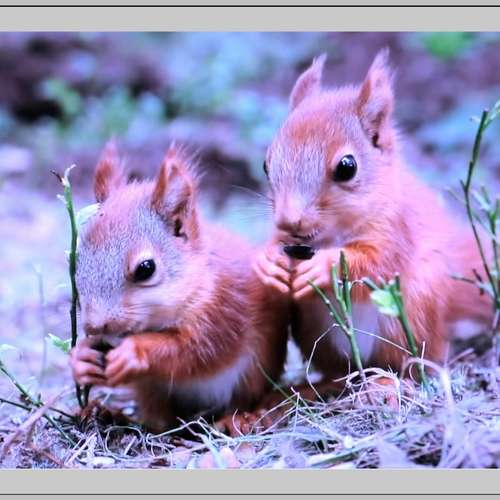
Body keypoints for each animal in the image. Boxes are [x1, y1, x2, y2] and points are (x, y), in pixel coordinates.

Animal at [70, 142, 289, 433]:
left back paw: (243, 418)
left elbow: (194, 351)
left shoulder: (221, 310)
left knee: (241, 399)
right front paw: (81, 358)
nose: (94, 326)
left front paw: (133, 352)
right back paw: (109, 413)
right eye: (75, 261)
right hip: (151, 390)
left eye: (146, 268)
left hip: (255, 369)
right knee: (159, 421)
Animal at [254, 49, 493, 382]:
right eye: (266, 164)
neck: (332, 234)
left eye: (347, 167)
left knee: (410, 363)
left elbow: (377, 261)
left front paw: (324, 266)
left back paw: (388, 382)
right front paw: (267, 261)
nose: (289, 220)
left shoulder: (396, 229)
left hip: (411, 316)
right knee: (338, 370)